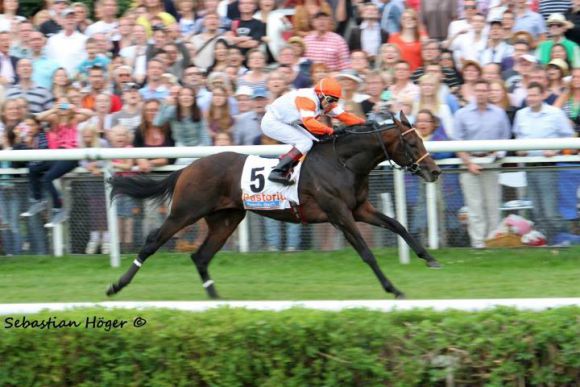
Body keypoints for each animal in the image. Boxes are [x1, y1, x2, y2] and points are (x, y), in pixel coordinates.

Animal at [107, 112, 440, 300]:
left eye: (423, 139)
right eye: (412, 144)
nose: (434, 171)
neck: (342, 162)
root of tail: (188, 168)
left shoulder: (360, 209)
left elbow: (398, 225)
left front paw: (429, 258)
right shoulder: (339, 214)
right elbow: (366, 253)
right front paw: (393, 289)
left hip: (226, 219)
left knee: (201, 256)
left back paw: (216, 298)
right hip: (185, 212)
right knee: (152, 242)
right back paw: (116, 286)